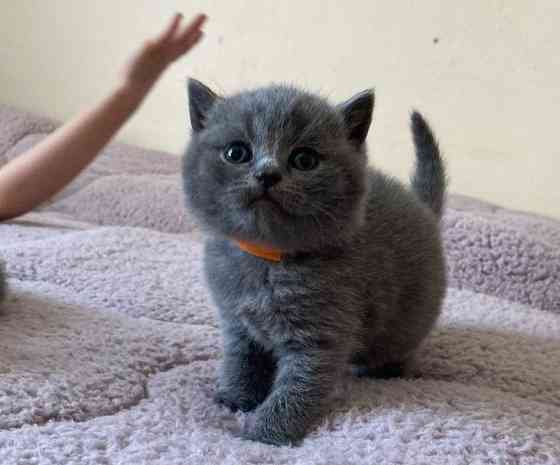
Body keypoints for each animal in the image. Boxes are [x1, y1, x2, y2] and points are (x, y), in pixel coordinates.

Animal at [184, 80, 446, 446]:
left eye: (304, 159)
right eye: (237, 153)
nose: (267, 174)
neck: (269, 262)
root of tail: (421, 206)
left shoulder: (320, 336)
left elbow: (299, 387)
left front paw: (265, 432)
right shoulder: (236, 322)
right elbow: (240, 361)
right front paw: (234, 399)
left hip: (406, 325)